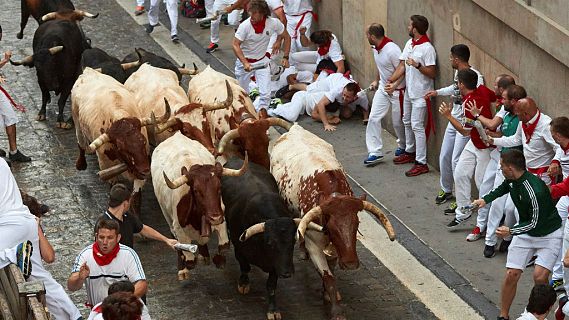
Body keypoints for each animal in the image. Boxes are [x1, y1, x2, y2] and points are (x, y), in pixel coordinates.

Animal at [220, 159, 296, 318]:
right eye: (270, 243)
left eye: (293, 241)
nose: (287, 273)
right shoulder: (239, 247)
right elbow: (245, 266)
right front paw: (243, 283)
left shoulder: (275, 264)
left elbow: (271, 286)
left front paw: (273, 310)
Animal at [270, 124, 394, 320]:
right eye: (331, 228)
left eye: (357, 225)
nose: (350, 264)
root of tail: (295, 128)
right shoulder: (314, 244)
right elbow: (328, 277)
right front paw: (336, 311)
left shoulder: (336, 250)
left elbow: (332, 269)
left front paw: (328, 295)